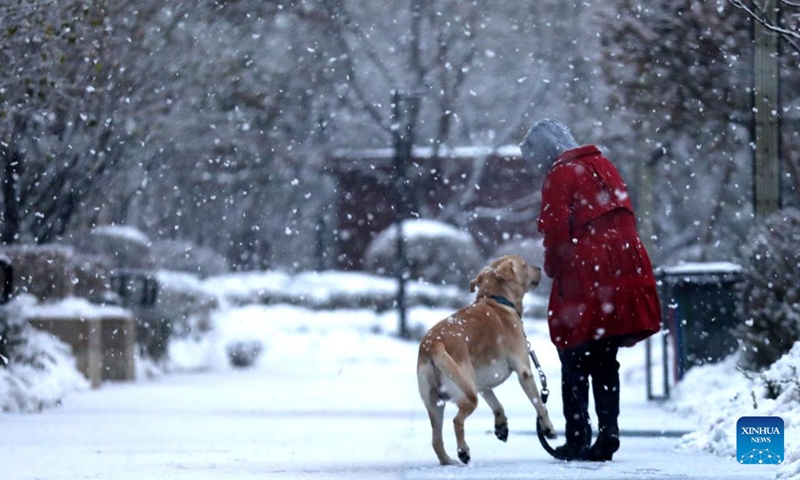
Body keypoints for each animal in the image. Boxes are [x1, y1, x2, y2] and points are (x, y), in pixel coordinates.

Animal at [418, 255, 556, 464]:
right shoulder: (524, 371)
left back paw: (448, 460)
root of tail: (435, 343)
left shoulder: (481, 383)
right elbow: (540, 404)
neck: (496, 300)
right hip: (467, 394)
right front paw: (548, 428)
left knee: (436, 440)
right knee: (457, 421)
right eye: (524, 265)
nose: (540, 268)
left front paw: (501, 426)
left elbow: (496, 404)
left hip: (436, 403)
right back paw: (463, 451)